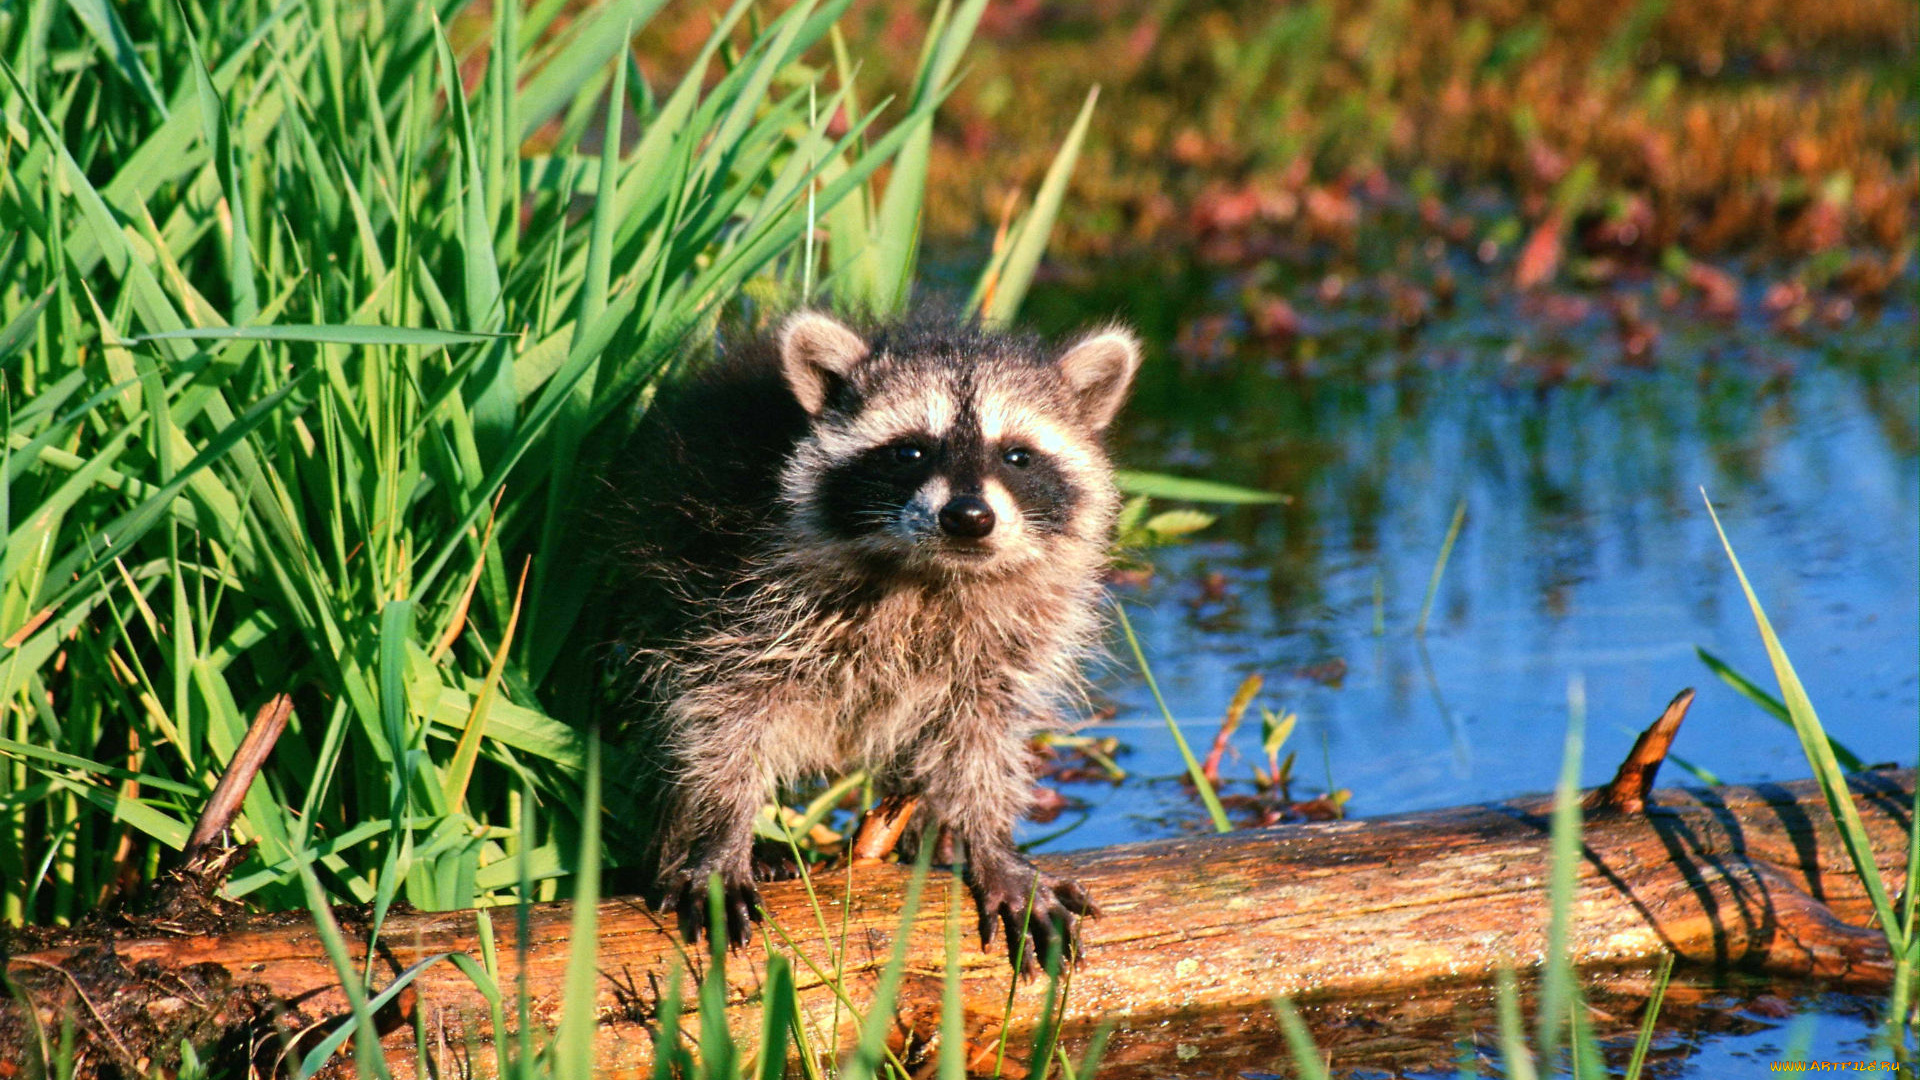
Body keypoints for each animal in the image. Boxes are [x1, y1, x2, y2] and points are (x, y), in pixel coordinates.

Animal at [612, 309, 1140, 971]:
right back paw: (678, 841)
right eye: (909, 451)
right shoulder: (731, 591)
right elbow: (719, 713)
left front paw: (990, 838)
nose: (968, 517)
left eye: (1017, 456)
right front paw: (721, 831)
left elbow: (983, 733)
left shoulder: (1012, 636)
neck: (934, 573)